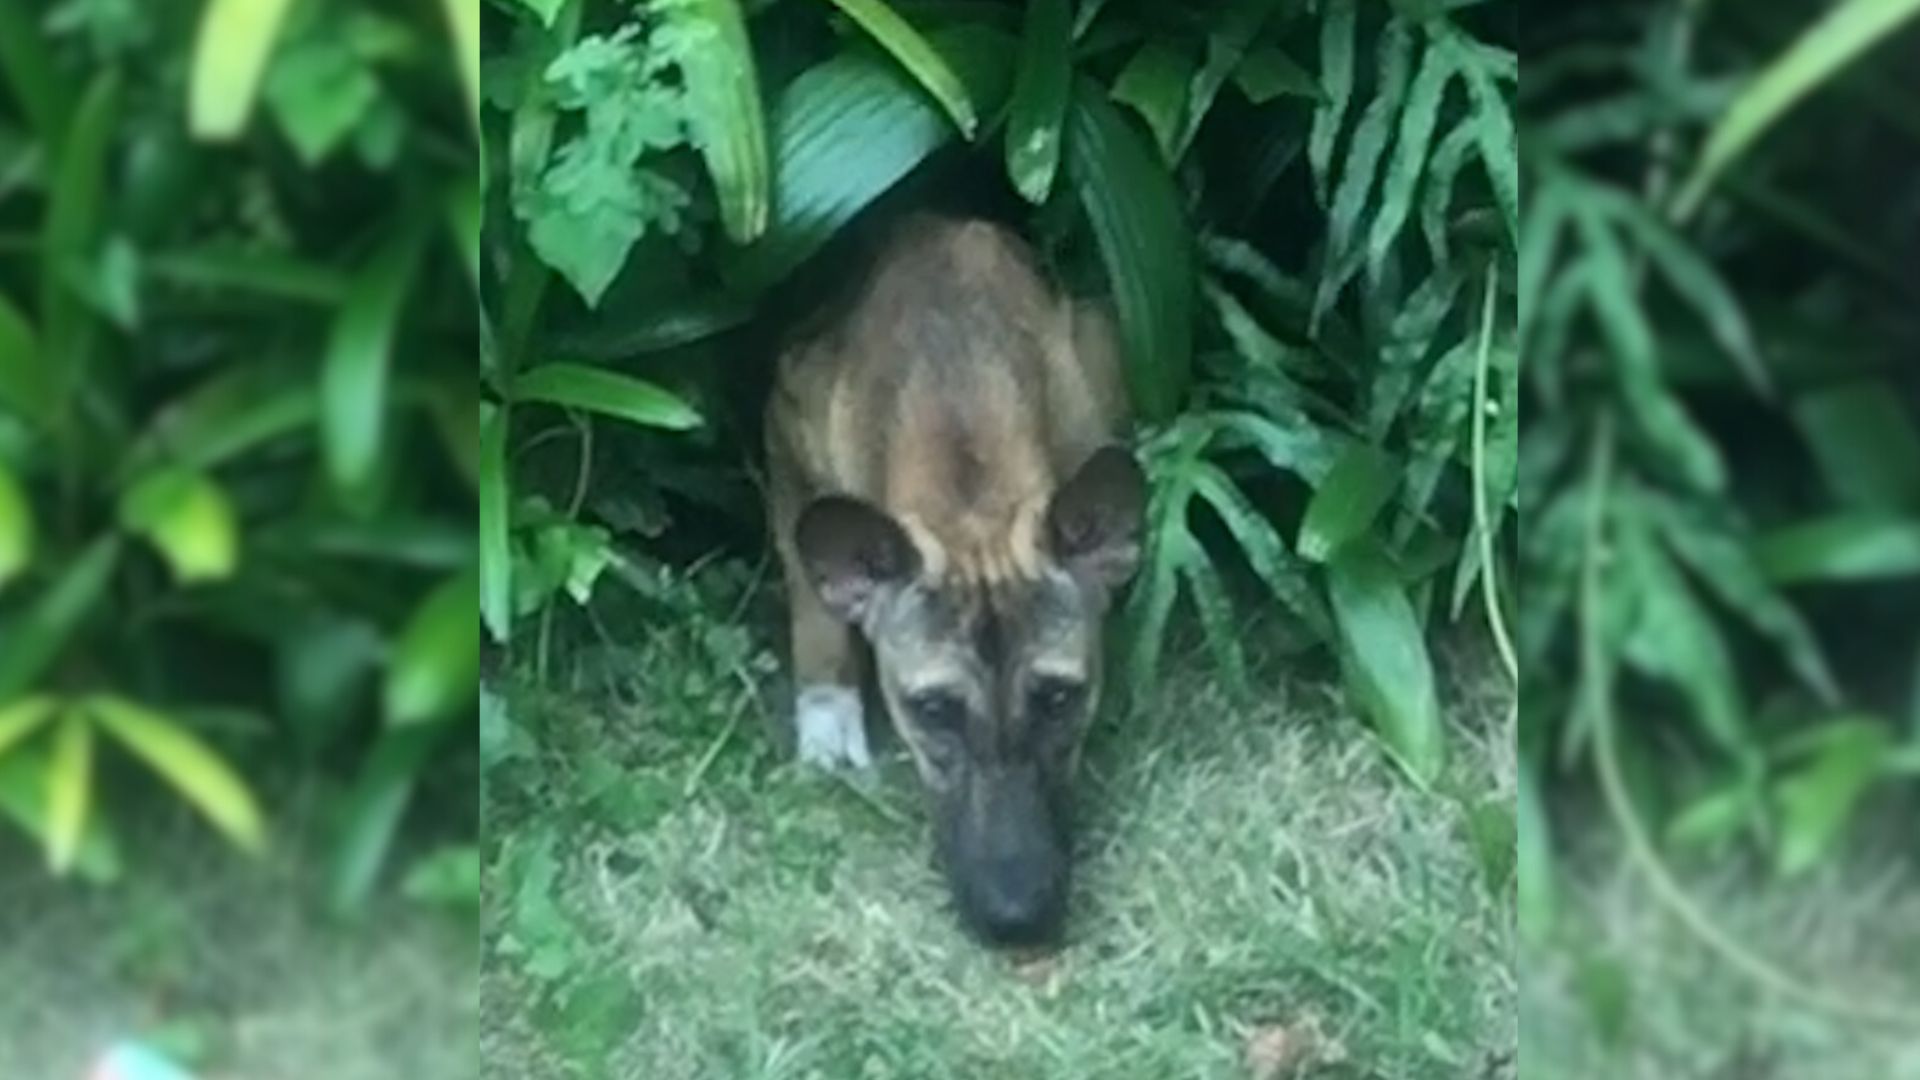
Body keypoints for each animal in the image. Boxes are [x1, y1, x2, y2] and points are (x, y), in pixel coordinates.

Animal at [764, 216, 1144, 941]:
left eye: (1061, 698)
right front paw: (827, 717)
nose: (1017, 919)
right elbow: (810, 590)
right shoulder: (787, 419)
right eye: (932, 709)